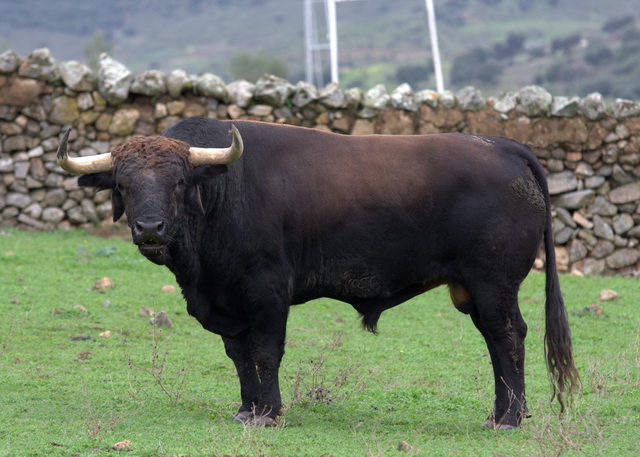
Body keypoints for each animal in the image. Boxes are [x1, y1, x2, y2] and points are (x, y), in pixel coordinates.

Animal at [58, 115, 580, 428]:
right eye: (123, 184)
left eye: (180, 181)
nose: (150, 228)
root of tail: (504, 145)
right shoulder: (228, 304)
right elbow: (239, 356)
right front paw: (247, 409)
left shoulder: (267, 291)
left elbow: (266, 352)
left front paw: (269, 414)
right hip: (470, 289)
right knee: (498, 342)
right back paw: (502, 413)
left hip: (494, 283)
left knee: (508, 337)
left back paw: (509, 417)